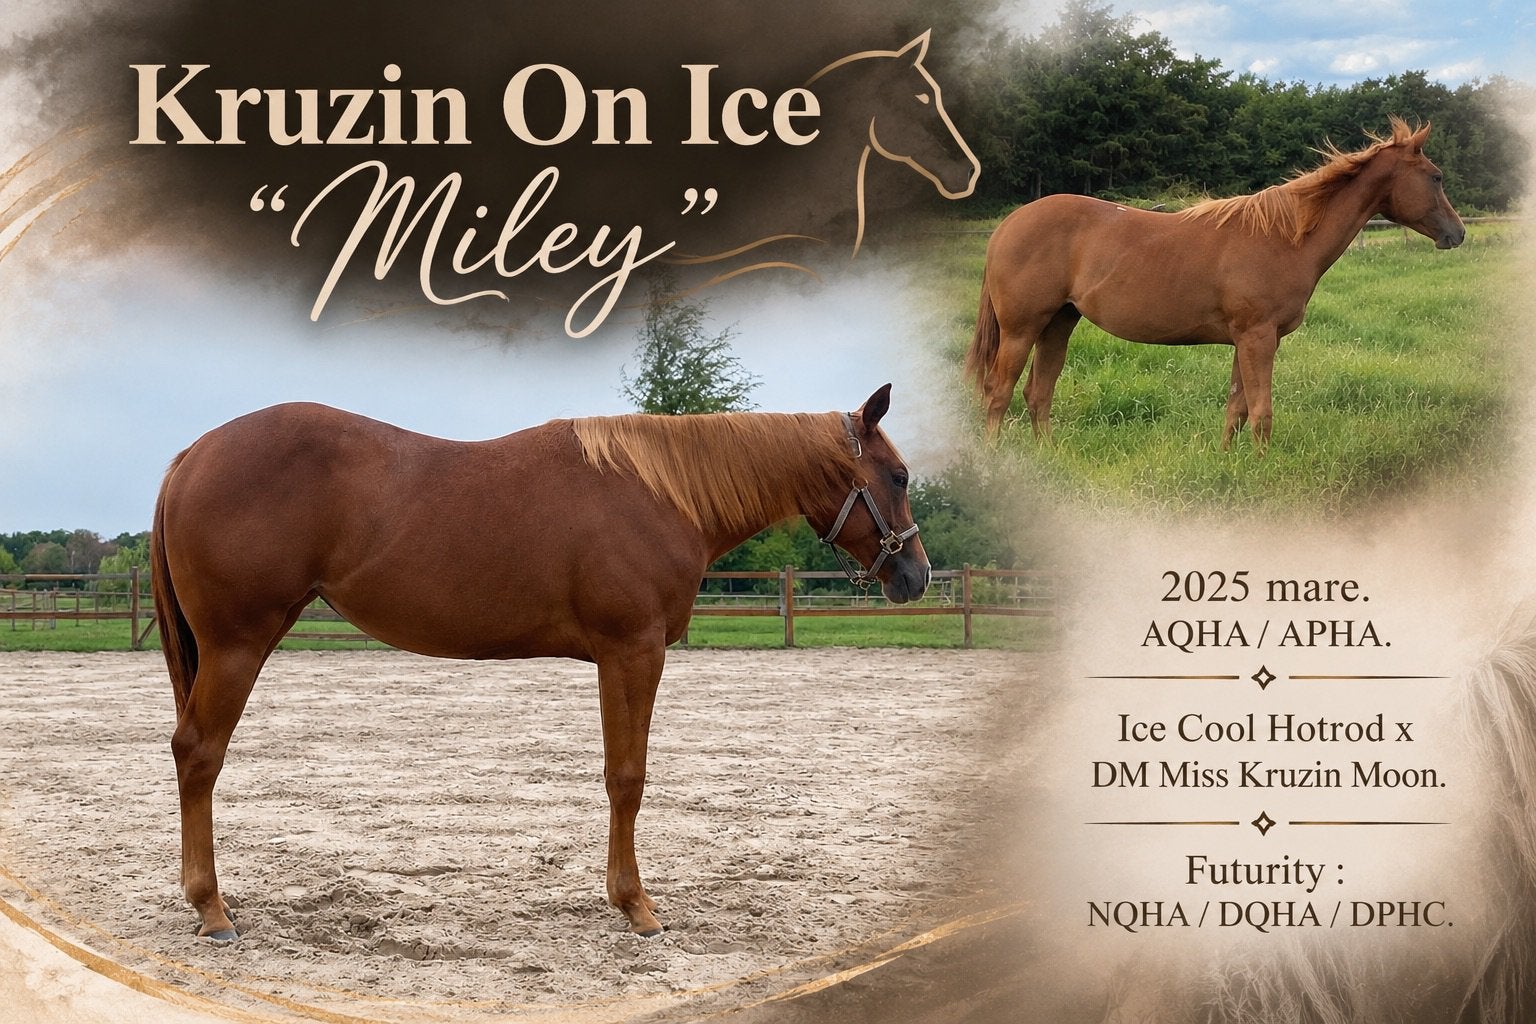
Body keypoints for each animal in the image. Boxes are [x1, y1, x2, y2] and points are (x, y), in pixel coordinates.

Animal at [150, 386, 928, 942]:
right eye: (897, 475)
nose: (915, 576)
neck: (660, 492)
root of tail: (193, 454)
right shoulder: (632, 650)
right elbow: (627, 778)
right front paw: (637, 907)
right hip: (237, 644)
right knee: (198, 754)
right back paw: (213, 910)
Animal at [965, 118, 1466, 449]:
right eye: (1436, 177)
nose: (1457, 234)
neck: (1283, 237)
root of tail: (1007, 225)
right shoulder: (1258, 338)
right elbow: (1261, 413)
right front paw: (1263, 471)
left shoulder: (1249, 340)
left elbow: (1237, 409)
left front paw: (1228, 461)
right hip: (1021, 329)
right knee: (998, 392)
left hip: (1058, 324)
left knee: (1037, 394)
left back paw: (1048, 453)